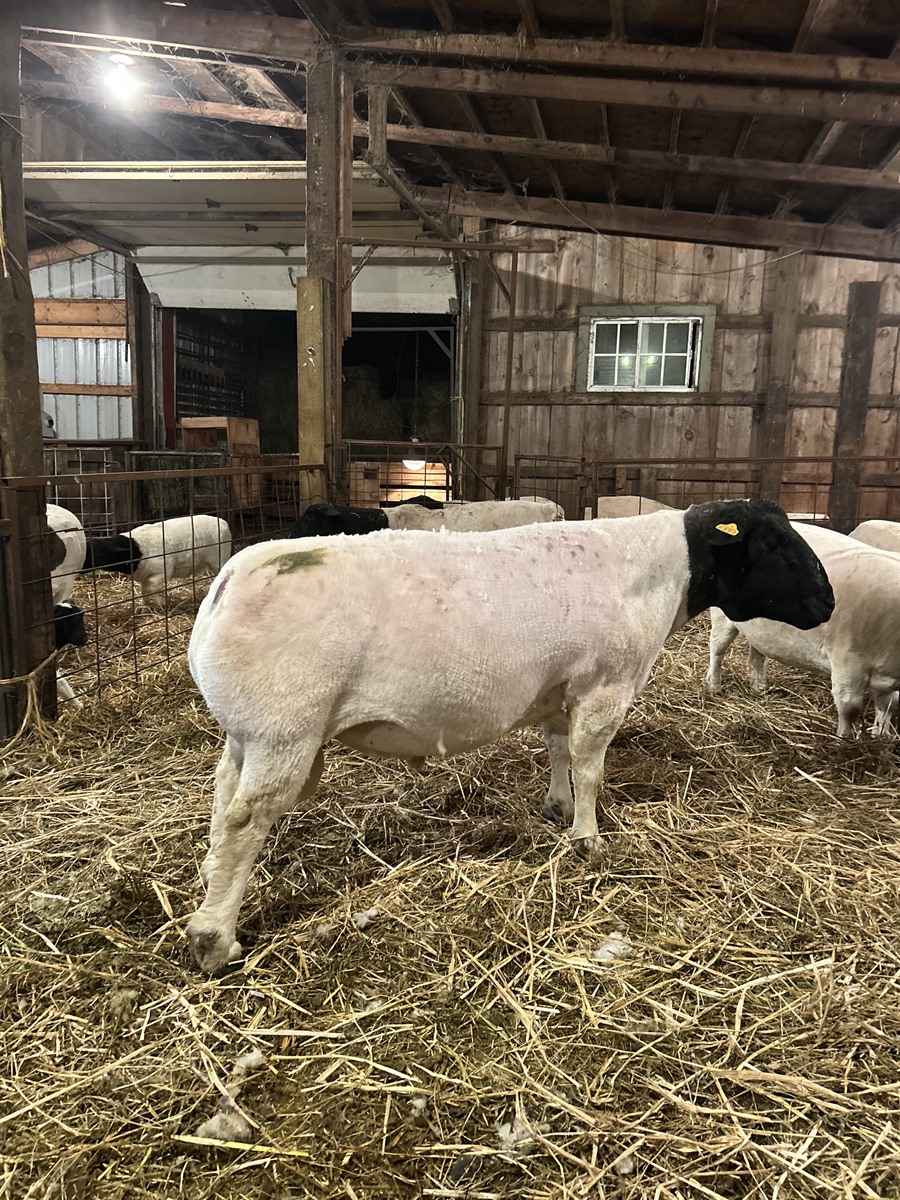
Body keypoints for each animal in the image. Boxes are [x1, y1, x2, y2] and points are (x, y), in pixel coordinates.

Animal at [83, 515, 232, 608]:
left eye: (96, 554)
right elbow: (144, 591)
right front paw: (146, 606)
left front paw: (162, 602)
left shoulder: (163, 571)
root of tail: (224, 522)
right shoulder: (143, 576)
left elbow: (151, 588)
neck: (136, 551)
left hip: (220, 559)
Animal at [185, 498, 833, 972]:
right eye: (772, 542)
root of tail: (227, 582)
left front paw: (557, 807)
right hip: (284, 729)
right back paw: (214, 940)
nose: (827, 603)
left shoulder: (560, 687)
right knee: (245, 820)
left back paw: (210, 874)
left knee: (222, 799)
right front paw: (588, 840)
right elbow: (591, 766)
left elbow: (558, 747)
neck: (658, 574)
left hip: (248, 732)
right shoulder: (605, 684)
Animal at [706, 523, 899, 737]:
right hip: (721, 613)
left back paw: (758, 686)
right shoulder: (848, 660)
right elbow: (850, 708)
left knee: (757, 651)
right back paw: (714, 685)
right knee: (717, 647)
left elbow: (889, 704)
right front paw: (844, 740)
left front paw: (881, 735)